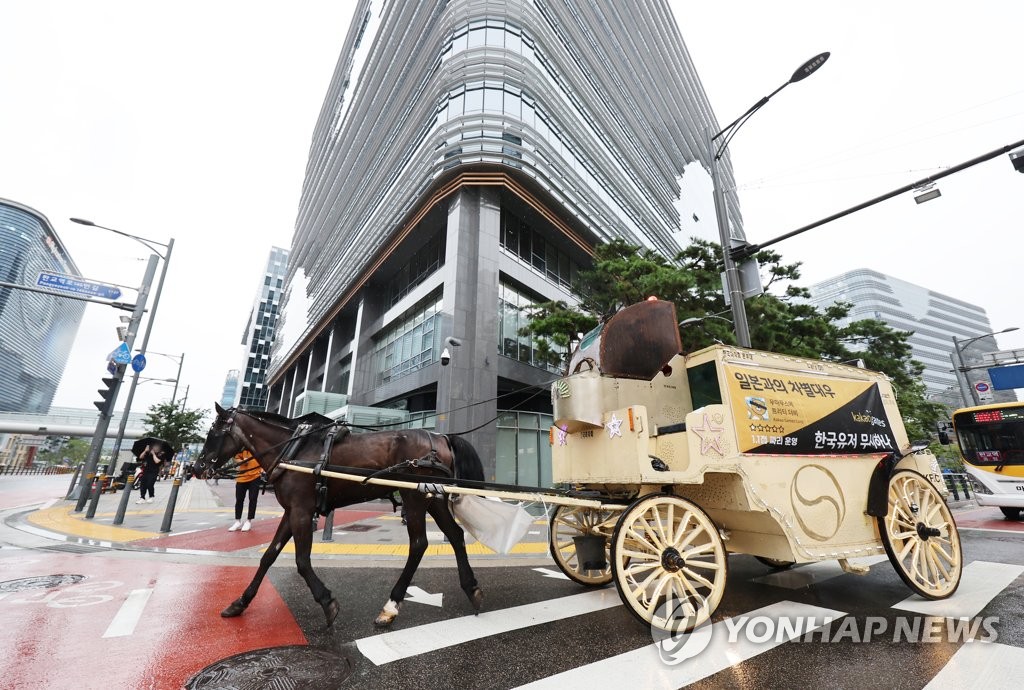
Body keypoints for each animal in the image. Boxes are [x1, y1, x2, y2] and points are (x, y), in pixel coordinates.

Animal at [194, 401, 487, 626]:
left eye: (213, 433)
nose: (196, 468)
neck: (293, 451)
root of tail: (440, 437)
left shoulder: (301, 511)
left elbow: (302, 560)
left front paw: (327, 602)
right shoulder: (292, 511)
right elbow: (268, 556)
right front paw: (240, 602)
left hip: (414, 497)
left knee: (418, 544)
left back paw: (391, 606)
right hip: (432, 497)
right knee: (454, 534)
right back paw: (471, 587)